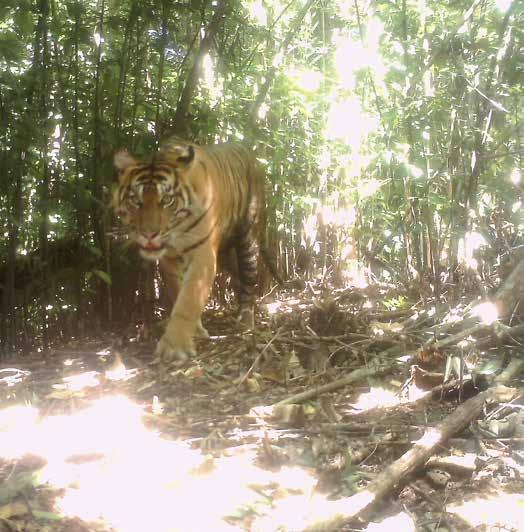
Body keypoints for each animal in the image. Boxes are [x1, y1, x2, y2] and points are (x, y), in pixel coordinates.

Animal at [112, 137, 268, 366]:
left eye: (166, 200)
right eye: (136, 200)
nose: (149, 234)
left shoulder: (203, 255)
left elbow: (189, 298)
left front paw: (174, 347)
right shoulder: (168, 258)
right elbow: (177, 291)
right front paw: (196, 330)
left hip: (247, 235)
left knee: (249, 276)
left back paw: (246, 321)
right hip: (225, 253)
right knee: (238, 275)